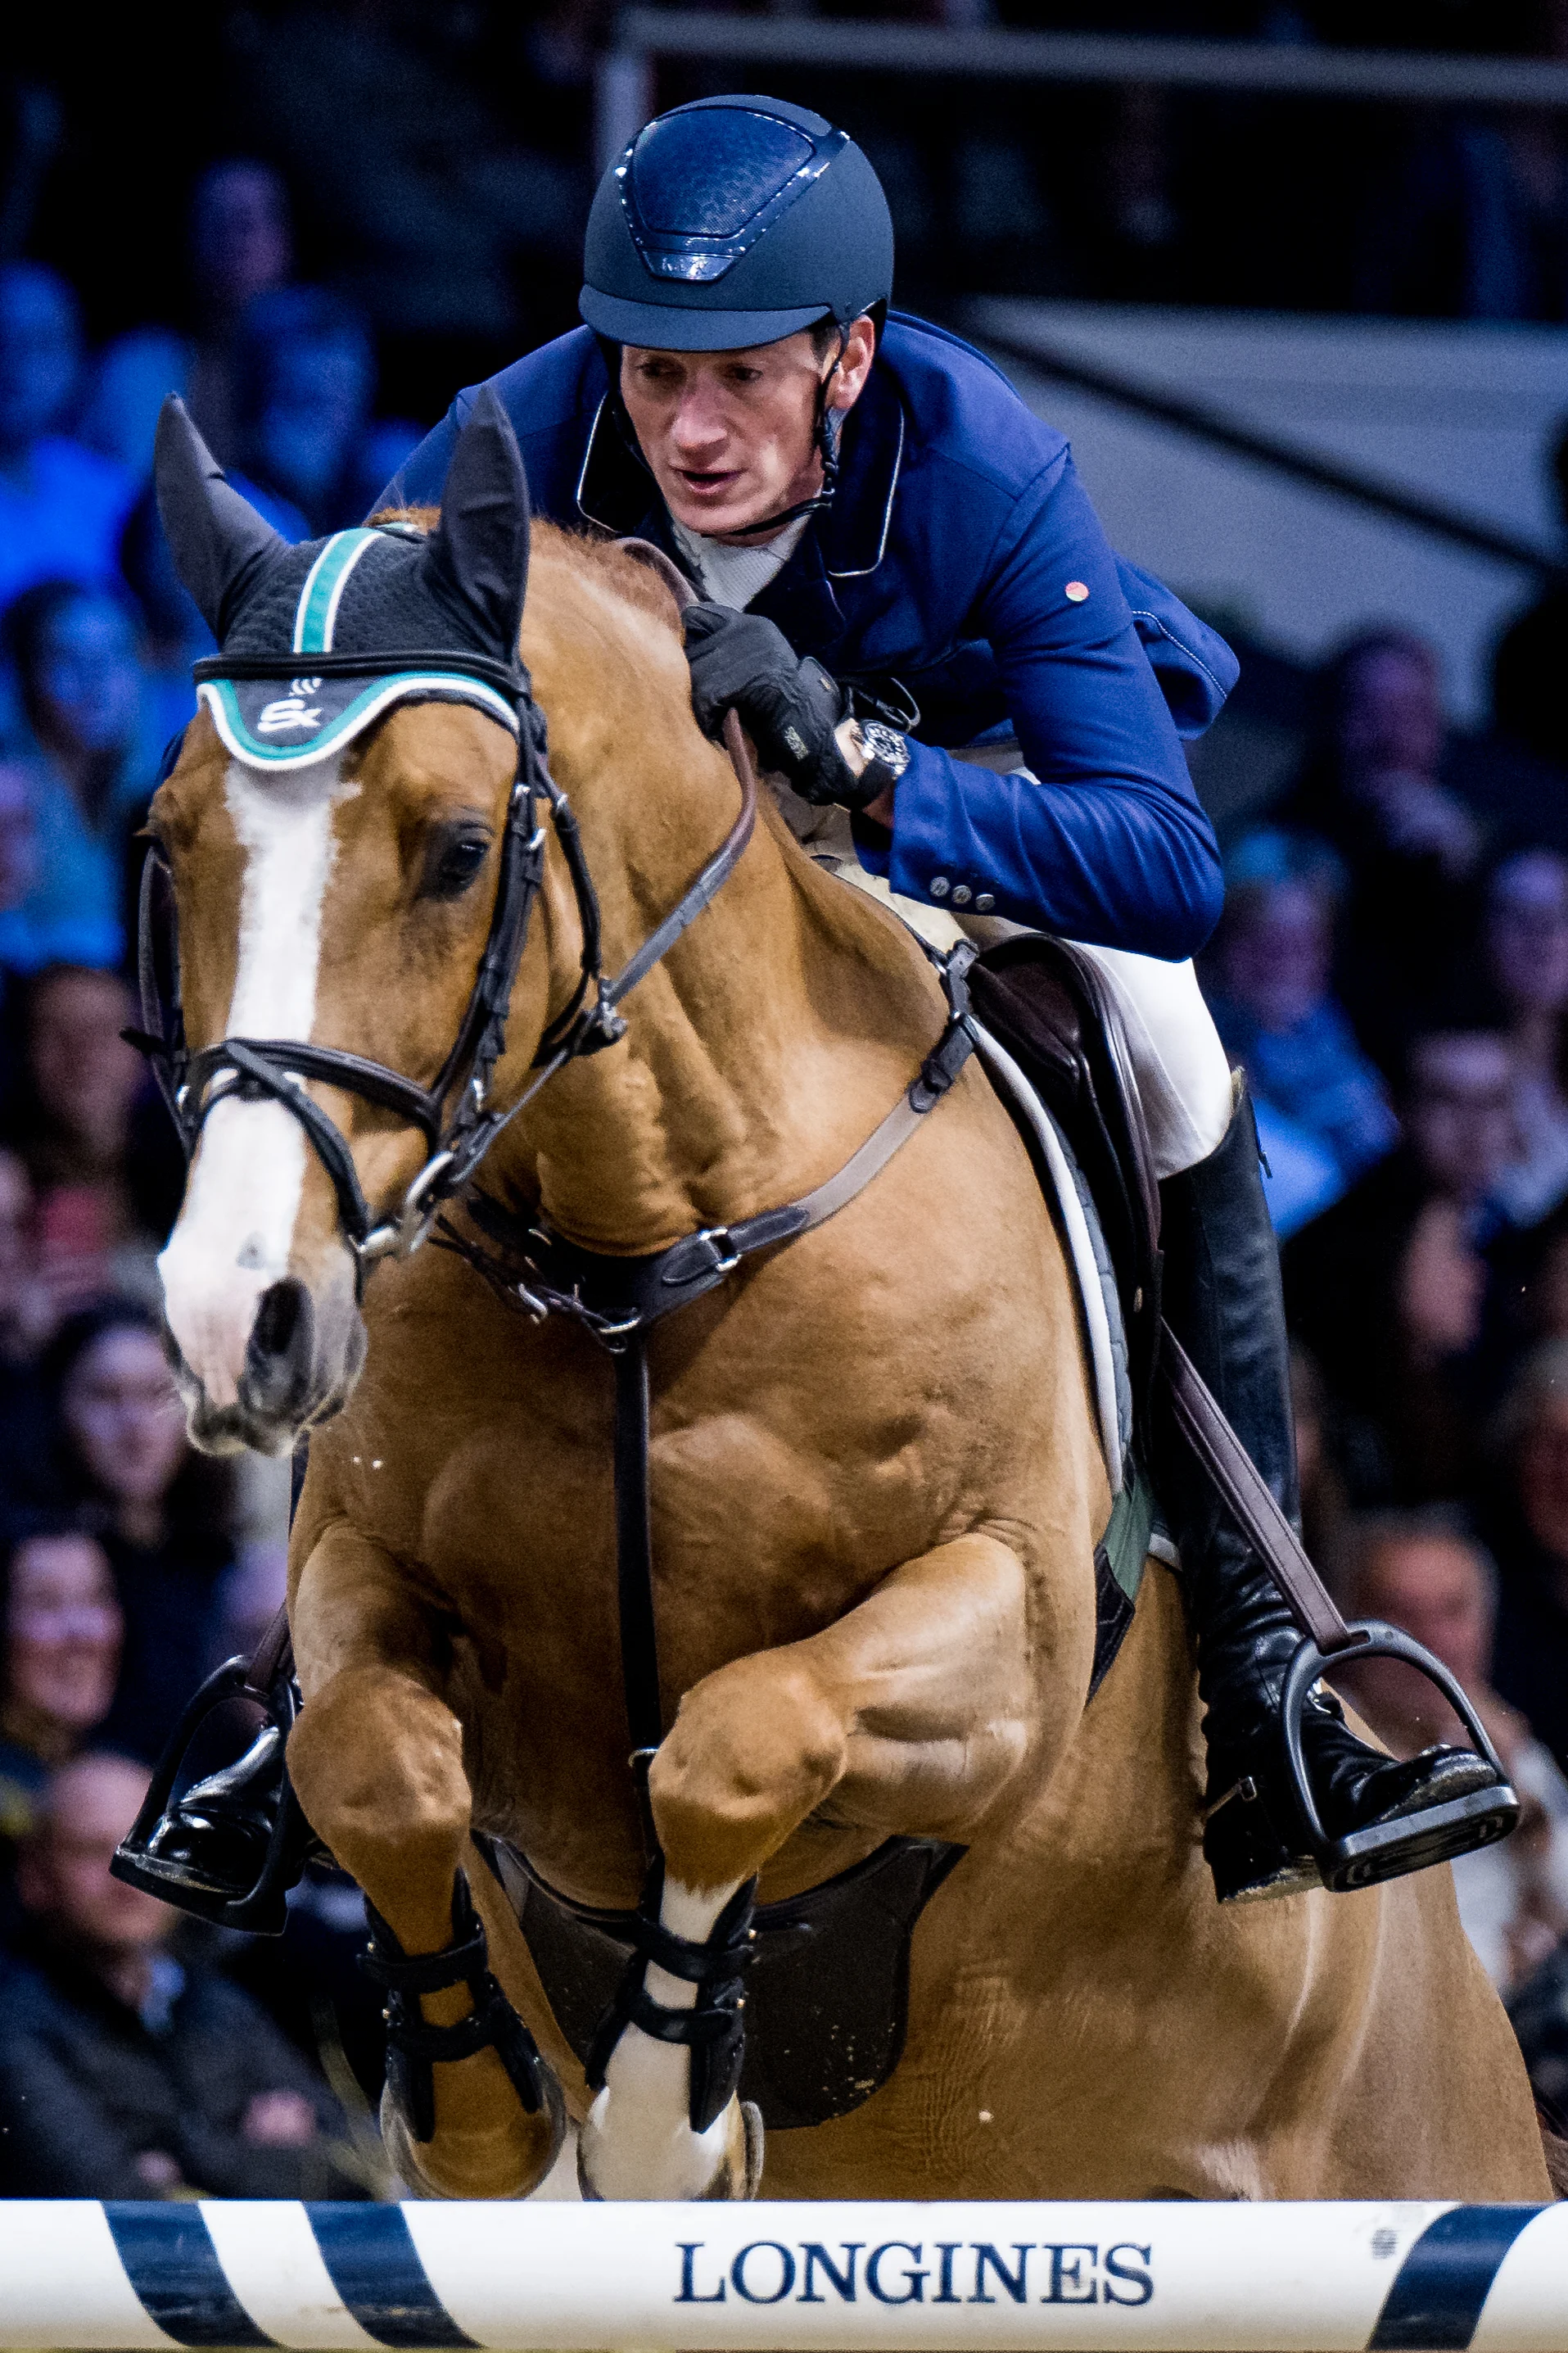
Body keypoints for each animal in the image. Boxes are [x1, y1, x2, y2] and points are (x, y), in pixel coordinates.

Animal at [150, 386, 1561, 2202]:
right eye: (170, 847)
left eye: (460, 850)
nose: (234, 1313)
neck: (648, 1256)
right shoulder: (365, 1572)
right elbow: (370, 1759)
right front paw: (474, 2096)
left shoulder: (1000, 1649)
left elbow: (738, 1739)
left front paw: (660, 2103)